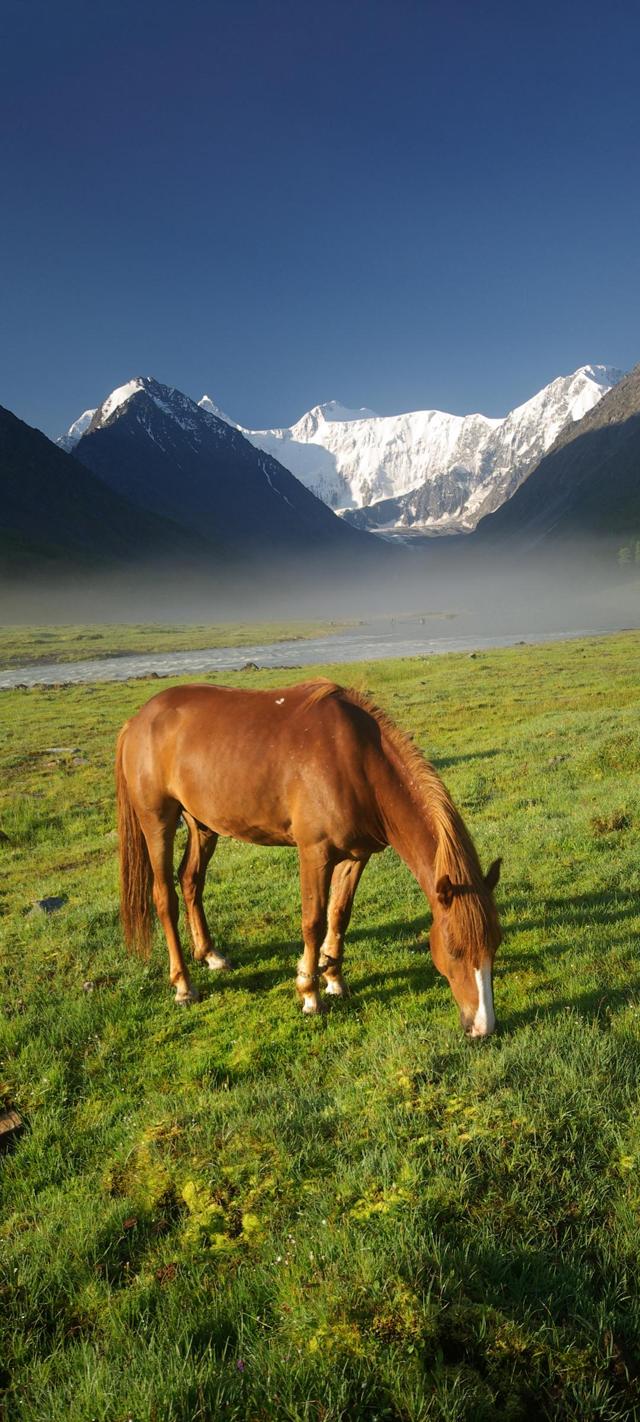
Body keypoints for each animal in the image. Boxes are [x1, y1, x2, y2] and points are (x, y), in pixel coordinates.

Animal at [117, 676, 503, 1035]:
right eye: (454, 950)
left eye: (495, 945)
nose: (483, 1027)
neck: (356, 761)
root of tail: (138, 720)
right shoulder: (314, 854)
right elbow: (313, 921)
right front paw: (309, 994)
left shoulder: (356, 856)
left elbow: (339, 915)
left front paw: (334, 980)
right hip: (158, 822)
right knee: (164, 897)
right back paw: (184, 986)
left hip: (202, 825)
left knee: (190, 880)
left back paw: (210, 955)